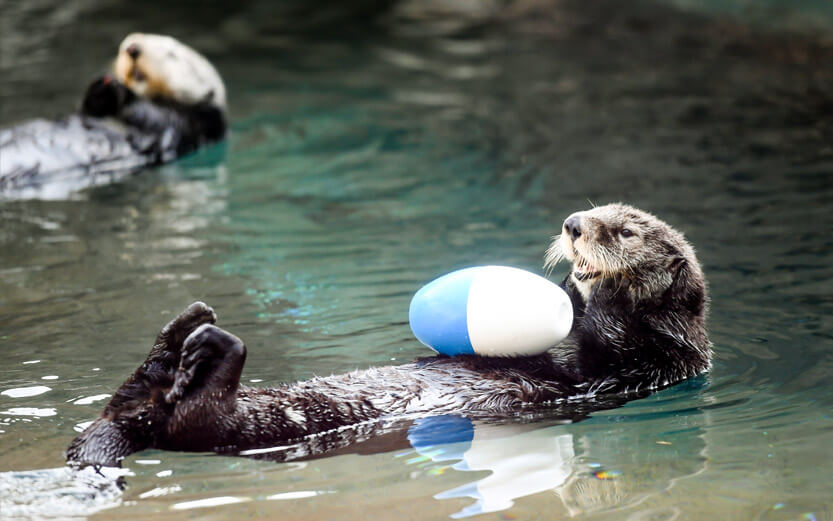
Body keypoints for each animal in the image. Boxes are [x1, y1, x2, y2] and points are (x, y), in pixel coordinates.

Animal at [0, 33, 226, 199]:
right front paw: (102, 85)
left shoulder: (188, 122)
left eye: (172, 54)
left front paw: (118, 89)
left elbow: (152, 115)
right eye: (125, 44)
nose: (132, 48)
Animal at [66, 204, 712, 467]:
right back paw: (182, 332)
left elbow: (607, 339)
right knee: (138, 398)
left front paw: (592, 291)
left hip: (253, 427)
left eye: (624, 231)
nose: (574, 225)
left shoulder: (648, 363)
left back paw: (212, 347)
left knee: (196, 419)